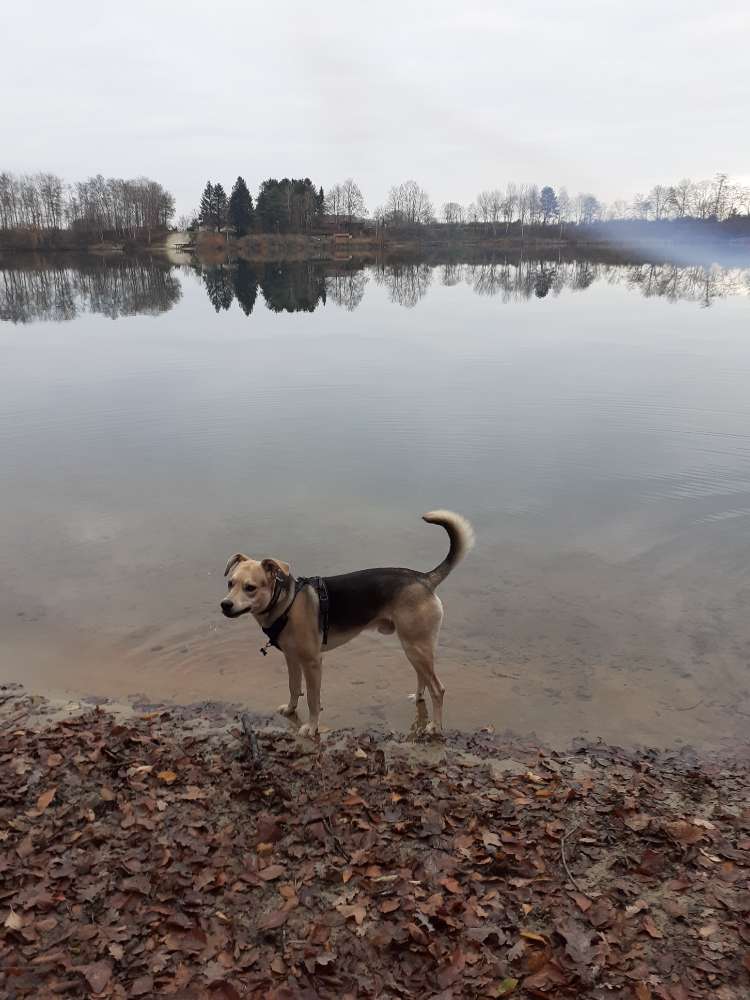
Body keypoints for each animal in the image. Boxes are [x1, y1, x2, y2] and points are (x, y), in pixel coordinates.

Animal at [219, 512, 476, 740]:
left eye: (250, 588)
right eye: (230, 583)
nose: (225, 605)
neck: (286, 602)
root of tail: (424, 578)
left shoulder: (313, 663)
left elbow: (312, 699)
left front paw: (311, 727)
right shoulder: (292, 659)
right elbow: (293, 687)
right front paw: (292, 711)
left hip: (416, 646)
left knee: (438, 689)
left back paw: (435, 726)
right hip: (414, 647)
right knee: (424, 677)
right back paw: (419, 698)